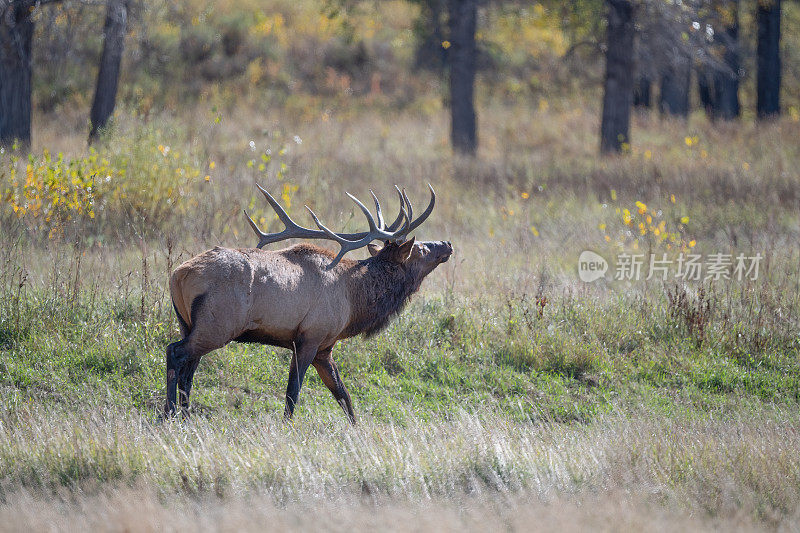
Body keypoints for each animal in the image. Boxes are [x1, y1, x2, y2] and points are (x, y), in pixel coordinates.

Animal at [164, 184, 450, 424]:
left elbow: (344, 395)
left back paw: (183, 416)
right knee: (175, 353)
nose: (447, 243)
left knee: (188, 371)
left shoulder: (325, 348)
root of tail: (178, 275)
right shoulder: (309, 337)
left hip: (189, 324)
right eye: (421, 249)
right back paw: (169, 414)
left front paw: (357, 430)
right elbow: (293, 393)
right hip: (218, 325)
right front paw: (287, 427)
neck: (353, 300)